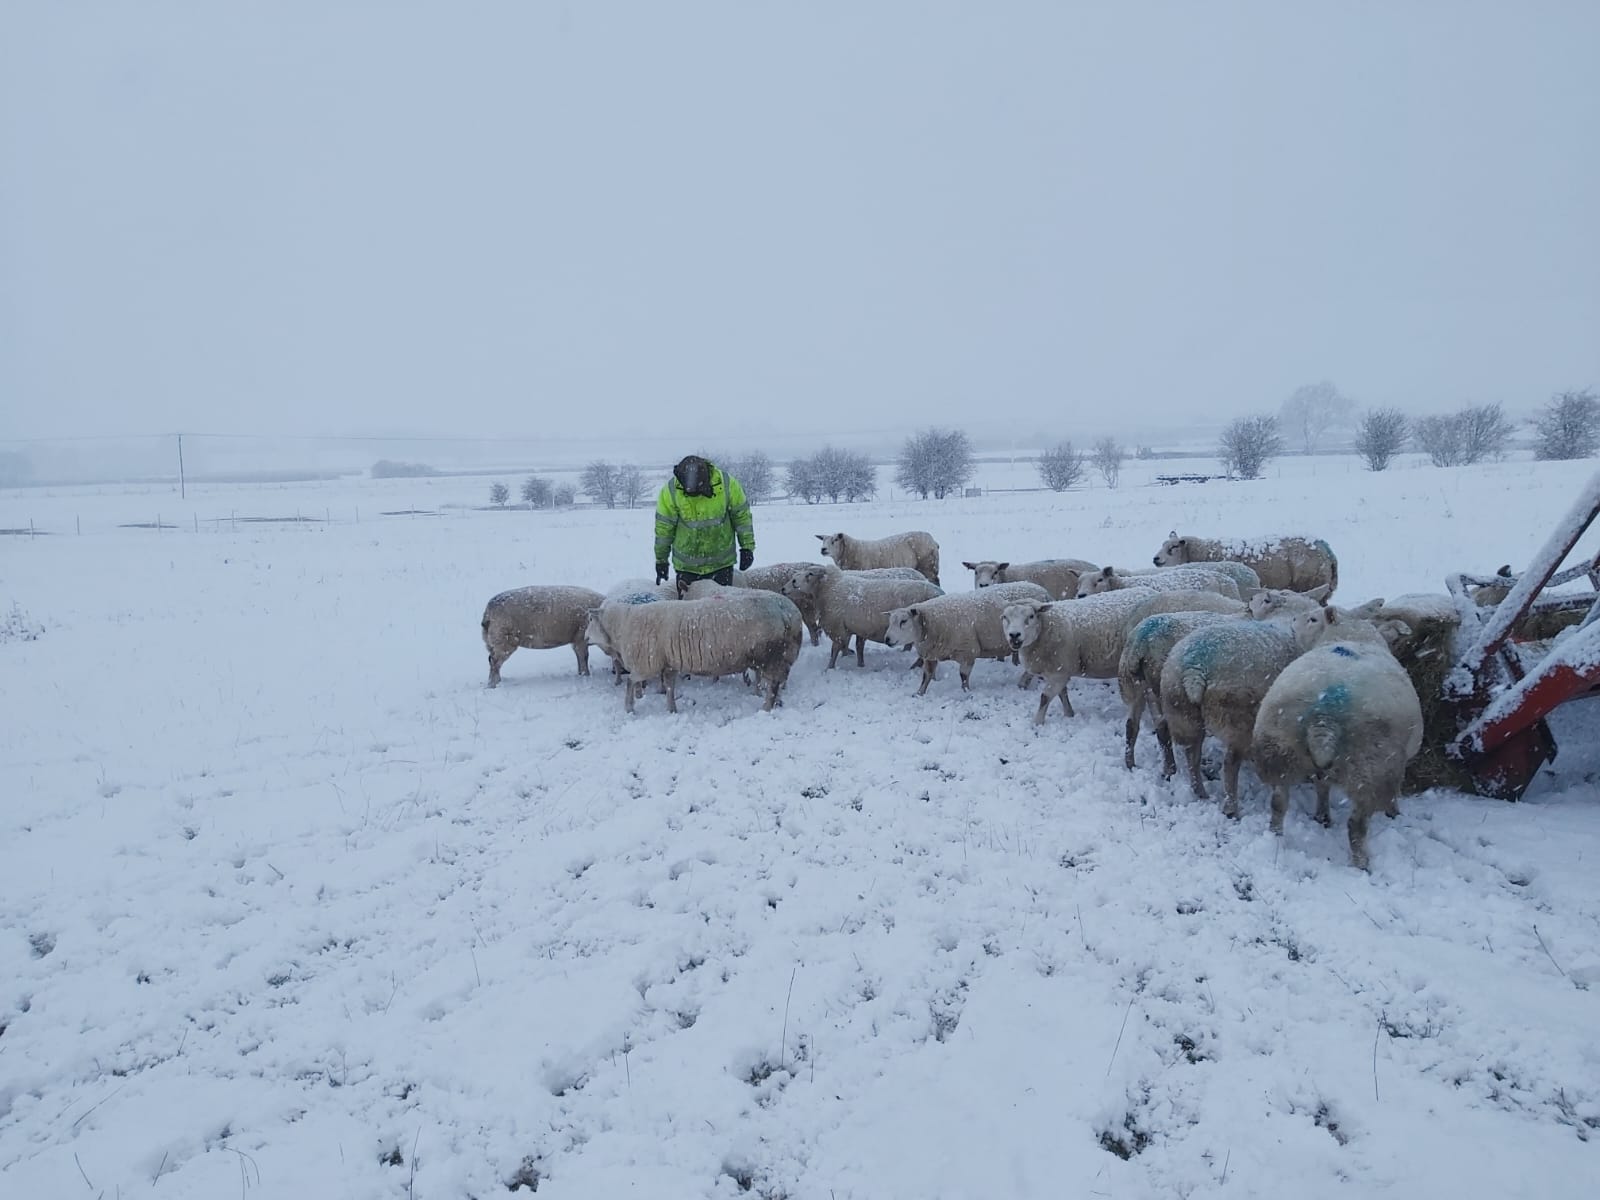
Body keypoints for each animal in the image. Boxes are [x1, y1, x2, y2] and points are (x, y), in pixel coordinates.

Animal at [584, 591, 802, 714]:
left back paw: (766, 708)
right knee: (776, 683)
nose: (585, 638)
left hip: (771, 656)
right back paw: (776, 703)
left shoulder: (646, 663)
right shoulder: (668, 665)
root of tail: (787, 612)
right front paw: (672, 710)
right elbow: (670, 688)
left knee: (772, 686)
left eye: (591, 620)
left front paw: (629, 708)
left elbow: (630, 682)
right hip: (781, 657)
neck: (622, 624)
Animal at [781, 565, 943, 669]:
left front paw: (829, 668)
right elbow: (857, 648)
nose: (784, 588)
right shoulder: (857, 628)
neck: (829, 589)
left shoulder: (838, 629)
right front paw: (860, 664)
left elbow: (836, 650)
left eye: (809, 575)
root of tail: (940, 592)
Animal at [883, 582, 1051, 695]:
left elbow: (963, 676)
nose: (887, 639)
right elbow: (926, 676)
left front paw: (966, 692)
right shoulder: (931, 655)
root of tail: (1044, 591)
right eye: (890, 621)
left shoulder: (968, 652)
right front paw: (919, 693)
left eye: (903, 621)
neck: (931, 622)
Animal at [1002, 589, 1247, 723]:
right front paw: (1069, 713)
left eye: (1031, 616)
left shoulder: (1059, 670)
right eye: (1005, 617)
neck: (1048, 627)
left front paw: (1037, 723)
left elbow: (1045, 698)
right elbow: (1062, 694)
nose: (1014, 636)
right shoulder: (1059, 670)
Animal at [1252, 605, 1424, 870]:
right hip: (1371, 769)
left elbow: (1322, 786)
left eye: (1313, 619)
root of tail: (1324, 717)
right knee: (1356, 825)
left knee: (1279, 802)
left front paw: (1322, 815)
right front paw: (1394, 812)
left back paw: (1278, 835)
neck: (1350, 635)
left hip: (1278, 750)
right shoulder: (1402, 759)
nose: (1293, 620)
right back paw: (1362, 863)